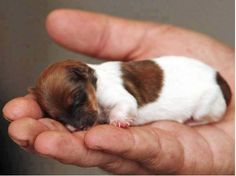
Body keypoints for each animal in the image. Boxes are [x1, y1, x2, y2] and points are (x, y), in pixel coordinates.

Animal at [29, 56, 230, 131]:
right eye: (58, 117)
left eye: (78, 99)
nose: (80, 126)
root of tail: (218, 77)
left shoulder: (118, 95)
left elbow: (123, 105)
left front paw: (118, 121)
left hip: (206, 107)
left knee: (209, 118)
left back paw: (191, 122)